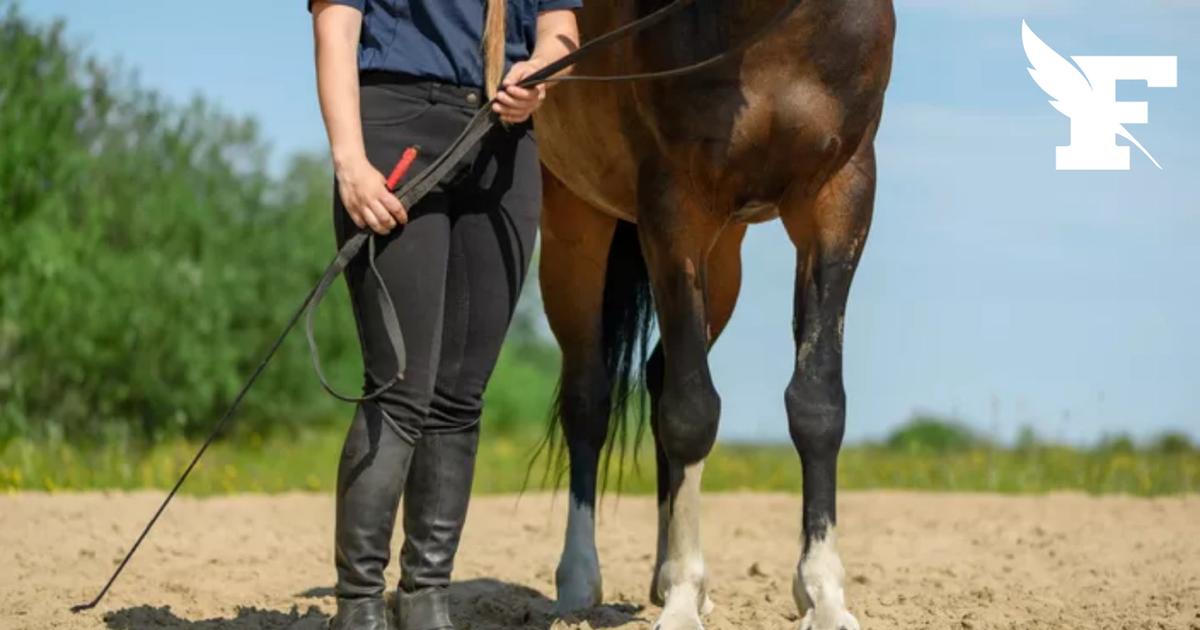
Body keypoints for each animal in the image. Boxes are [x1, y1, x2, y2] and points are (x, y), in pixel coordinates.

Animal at [533, 1, 895, 628]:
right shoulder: (671, 207)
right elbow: (691, 412)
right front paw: (682, 600)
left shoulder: (840, 195)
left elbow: (817, 403)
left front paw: (823, 594)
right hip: (573, 217)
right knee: (588, 397)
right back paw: (579, 584)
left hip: (723, 255)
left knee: (657, 373)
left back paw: (663, 576)